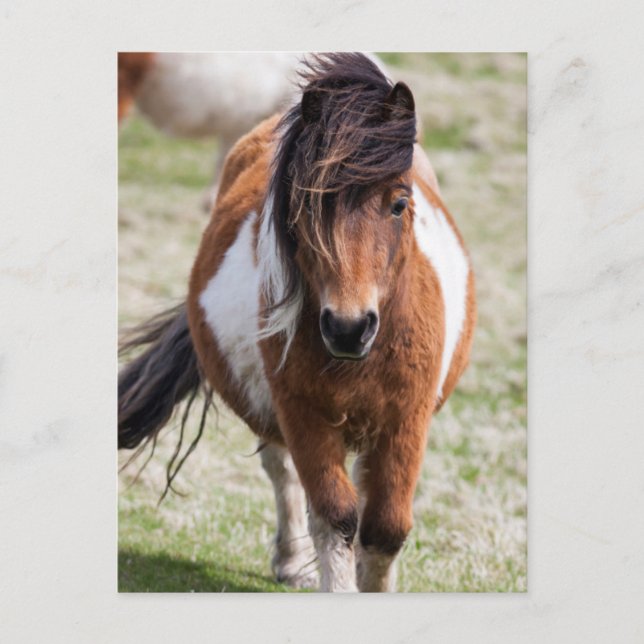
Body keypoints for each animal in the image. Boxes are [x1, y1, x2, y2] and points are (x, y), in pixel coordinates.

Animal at [118, 52, 476, 592]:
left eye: (399, 203)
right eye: (307, 206)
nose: (348, 328)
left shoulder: (405, 423)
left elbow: (385, 528)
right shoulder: (304, 416)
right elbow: (335, 516)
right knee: (282, 471)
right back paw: (290, 561)